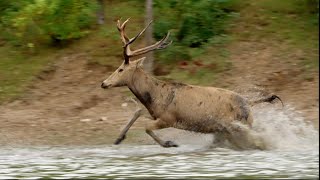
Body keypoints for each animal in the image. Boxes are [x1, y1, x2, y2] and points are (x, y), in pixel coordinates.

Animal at [100, 19, 282, 150]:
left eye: (120, 69)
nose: (103, 83)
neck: (156, 98)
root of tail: (249, 102)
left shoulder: (169, 118)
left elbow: (146, 127)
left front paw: (169, 143)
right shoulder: (155, 113)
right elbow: (137, 111)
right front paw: (118, 139)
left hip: (238, 124)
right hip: (225, 129)